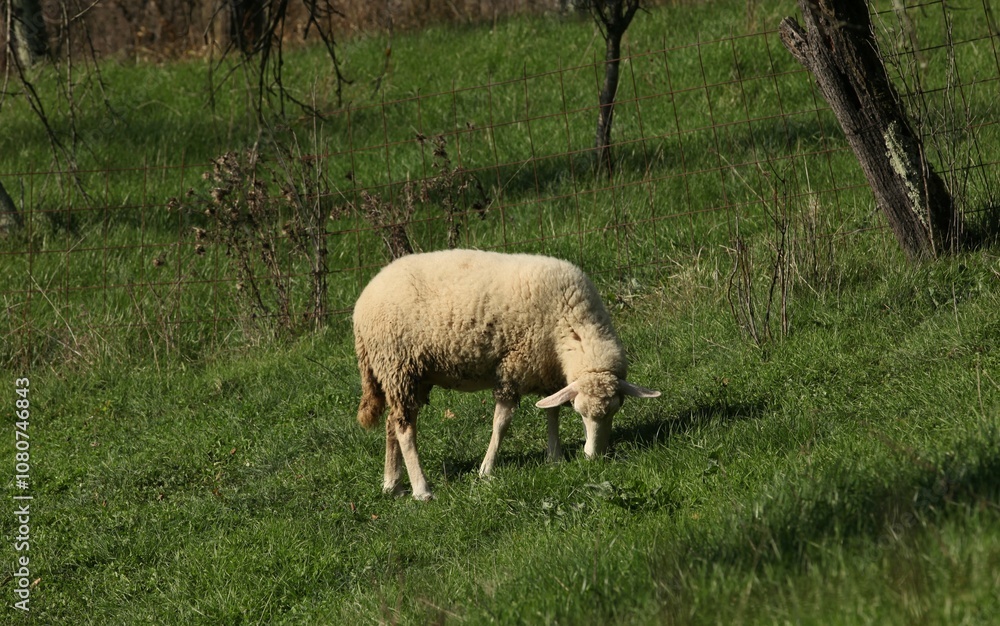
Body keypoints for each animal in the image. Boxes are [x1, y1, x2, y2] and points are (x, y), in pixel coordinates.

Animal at [353, 249, 660, 500]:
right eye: (580, 412)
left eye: (616, 410)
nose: (595, 458)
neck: (571, 320)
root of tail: (361, 304)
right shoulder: (512, 368)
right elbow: (501, 423)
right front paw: (487, 470)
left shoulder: (546, 370)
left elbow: (551, 412)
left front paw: (555, 457)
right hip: (398, 365)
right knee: (405, 428)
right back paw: (421, 489)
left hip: (409, 375)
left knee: (393, 422)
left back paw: (392, 485)